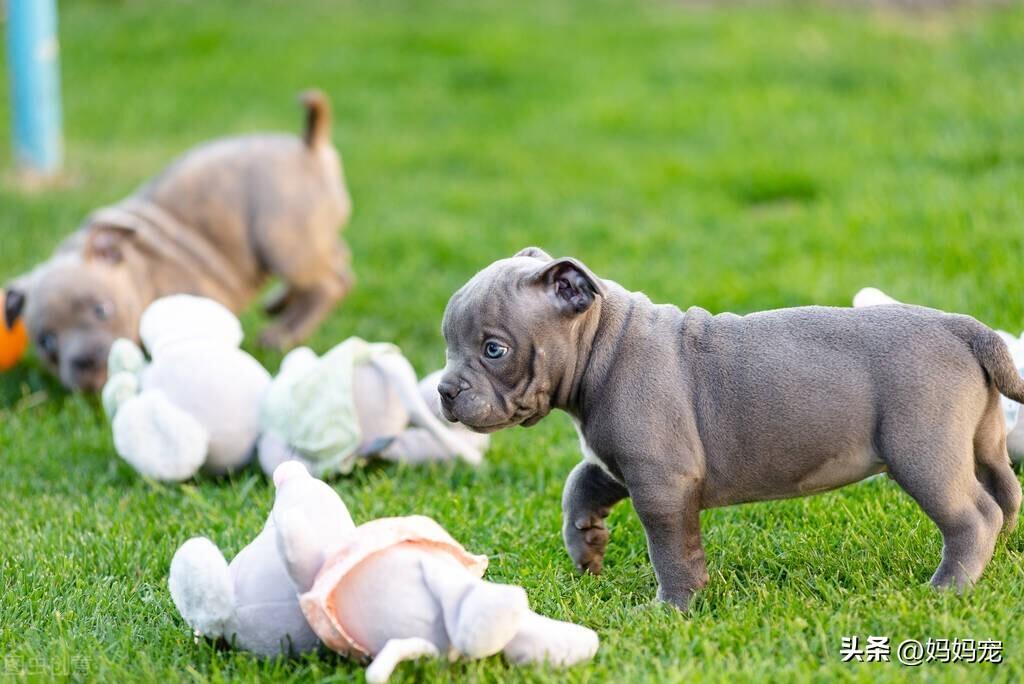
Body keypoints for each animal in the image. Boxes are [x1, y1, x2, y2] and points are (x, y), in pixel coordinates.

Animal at [4, 90, 354, 389]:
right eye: (47, 341)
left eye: (102, 310)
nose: (85, 364)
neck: (139, 270)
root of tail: (308, 146)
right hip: (308, 235)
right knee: (339, 262)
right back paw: (279, 303)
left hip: (281, 243)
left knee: (330, 283)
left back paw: (283, 333)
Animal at [440, 248, 1024, 610]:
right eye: (448, 343)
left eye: (494, 349)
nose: (444, 390)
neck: (602, 346)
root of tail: (960, 326)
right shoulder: (621, 462)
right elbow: (579, 484)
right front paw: (587, 546)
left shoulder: (661, 482)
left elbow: (671, 550)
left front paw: (673, 607)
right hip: (980, 440)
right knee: (1003, 492)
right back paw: (998, 555)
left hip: (922, 453)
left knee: (971, 515)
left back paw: (948, 588)